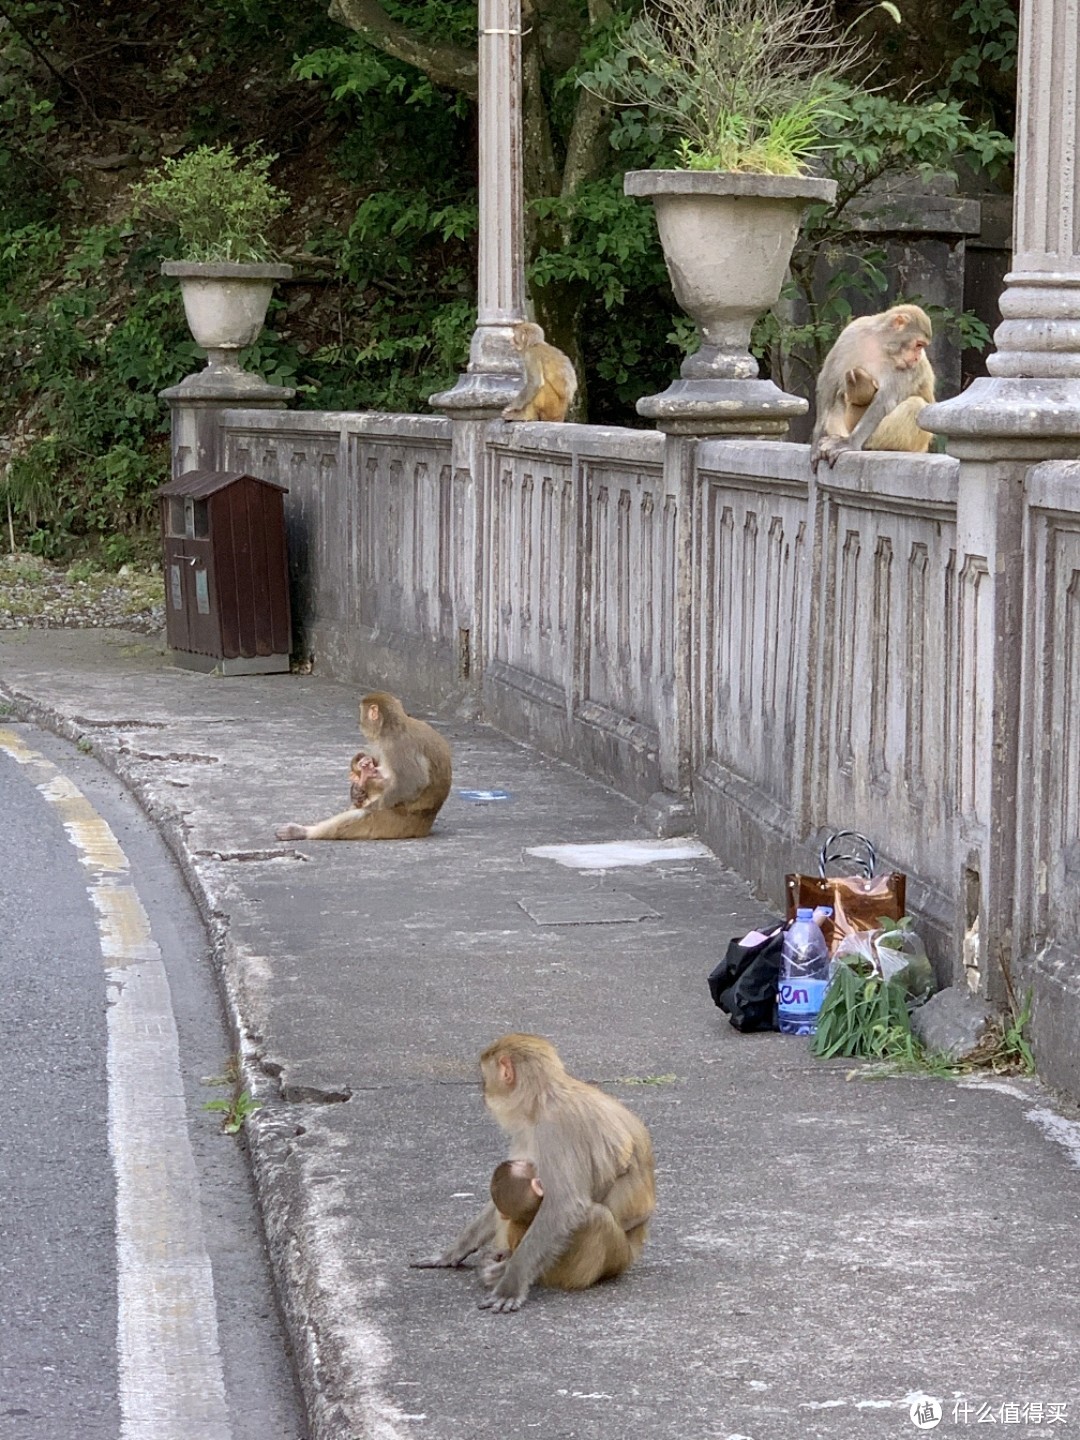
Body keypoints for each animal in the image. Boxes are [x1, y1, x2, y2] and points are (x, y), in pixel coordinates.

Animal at [276, 688, 455, 840]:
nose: (359, 722)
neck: (392, 726)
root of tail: (424, 826)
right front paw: (356, 790)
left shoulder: (396, 745)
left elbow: (413, 783)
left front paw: (371, 802)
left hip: (394, 823)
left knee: (361, 815)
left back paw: (303, 832)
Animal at [408, 1031, 656, 1313]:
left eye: (484, 1077)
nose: (483, 1092)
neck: (543, 1099)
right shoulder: (528, 1130)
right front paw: (454, 1251)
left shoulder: (556, 1128)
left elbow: (565, 1205)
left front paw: (511, 1282)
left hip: (609, 1261)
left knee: (596, 1217)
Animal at [812, 303, 938, 472]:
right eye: (918, 344)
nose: (917, 357)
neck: (882, 344)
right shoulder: (851, 333)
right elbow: (828, 382)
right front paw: (816, 440)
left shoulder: (911, 369)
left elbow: (884, 400)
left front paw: (849, 443)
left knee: (915, 404)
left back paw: (871, 446)